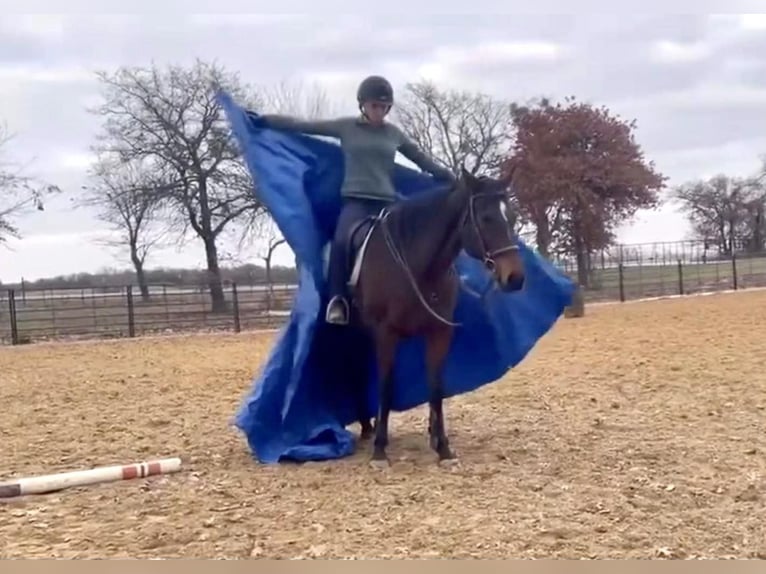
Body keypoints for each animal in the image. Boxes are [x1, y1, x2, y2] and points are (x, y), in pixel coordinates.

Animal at [336, 165, 528, 468]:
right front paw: (380, 451)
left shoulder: (439, 332)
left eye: (512, 217)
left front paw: (443, 448)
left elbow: (436, 387)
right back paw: (369, 430)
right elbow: (386, 386)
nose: (516, 278)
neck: (416, 264)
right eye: (486, 218)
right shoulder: (386, 333)